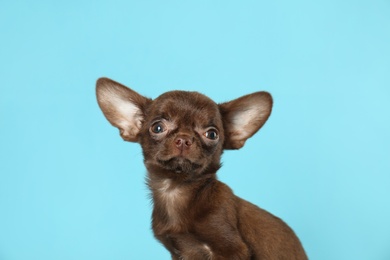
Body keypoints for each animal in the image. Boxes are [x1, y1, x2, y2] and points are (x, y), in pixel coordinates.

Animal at [95, 77, 308, 260]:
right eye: (157, 128)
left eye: (212, 134)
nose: (184, 139)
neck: (175, 189)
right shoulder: (178, 251)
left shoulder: (232, 250)